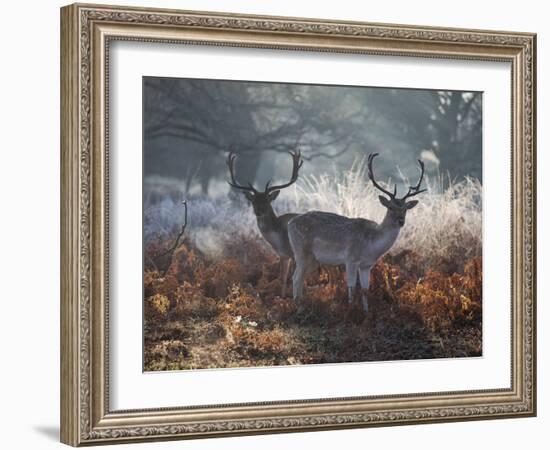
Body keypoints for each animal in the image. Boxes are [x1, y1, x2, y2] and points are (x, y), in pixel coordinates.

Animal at [229, 150, 306, 298]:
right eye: (253, 201)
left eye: (267, 200)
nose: (258, 211)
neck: (279, 238)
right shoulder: (283, 255)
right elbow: (283, 278)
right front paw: (282, 297)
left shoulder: (294, 253)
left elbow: (295, 278)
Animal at [288, 153, 426, 312]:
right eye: (390, 207)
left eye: (405, 209)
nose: (401, 221)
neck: (372, 246)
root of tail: (290, 223)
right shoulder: (350, 259)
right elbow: (352, 287)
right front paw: (350, 310)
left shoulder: (367, 265)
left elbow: (366, 289)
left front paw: (366, 312)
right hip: (301, 252)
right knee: (296, 278)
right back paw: (299, 307)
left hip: (313, 259)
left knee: (300, 278)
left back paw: (301, 305)